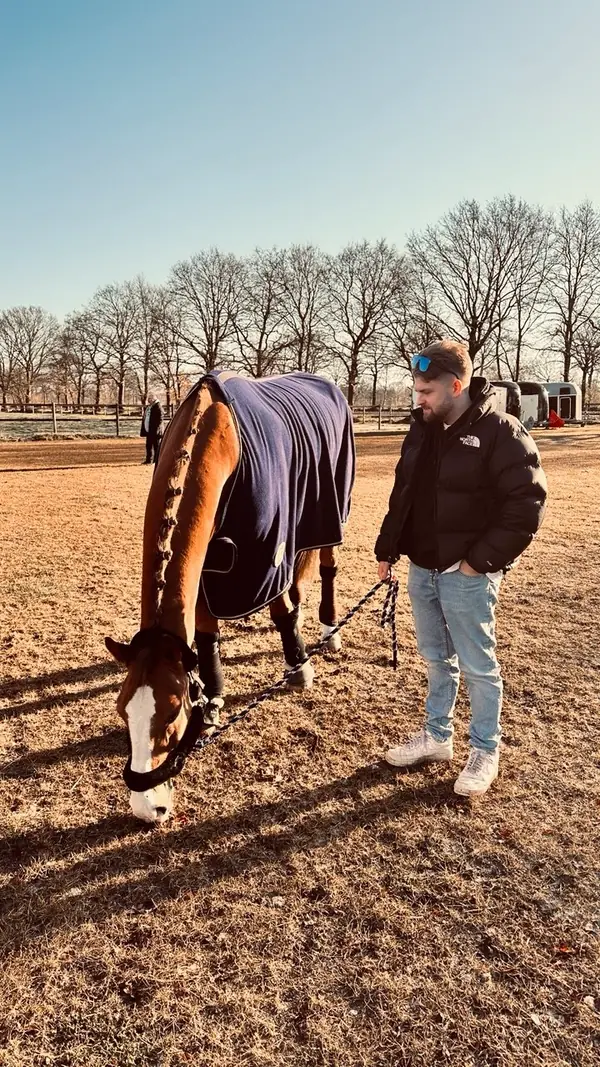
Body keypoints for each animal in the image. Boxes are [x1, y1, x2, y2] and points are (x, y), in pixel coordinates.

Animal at [105, 370, 355, 823]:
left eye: (172, 713)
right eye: (121, 709)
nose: (148, 808)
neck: (219, 436)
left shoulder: (270, 550)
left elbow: (279, 608)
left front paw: (299, 668)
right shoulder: (207, 563)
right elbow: (206, 636)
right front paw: (214, 696)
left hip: (331, 512)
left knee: (327, 564)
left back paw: (328, 630)